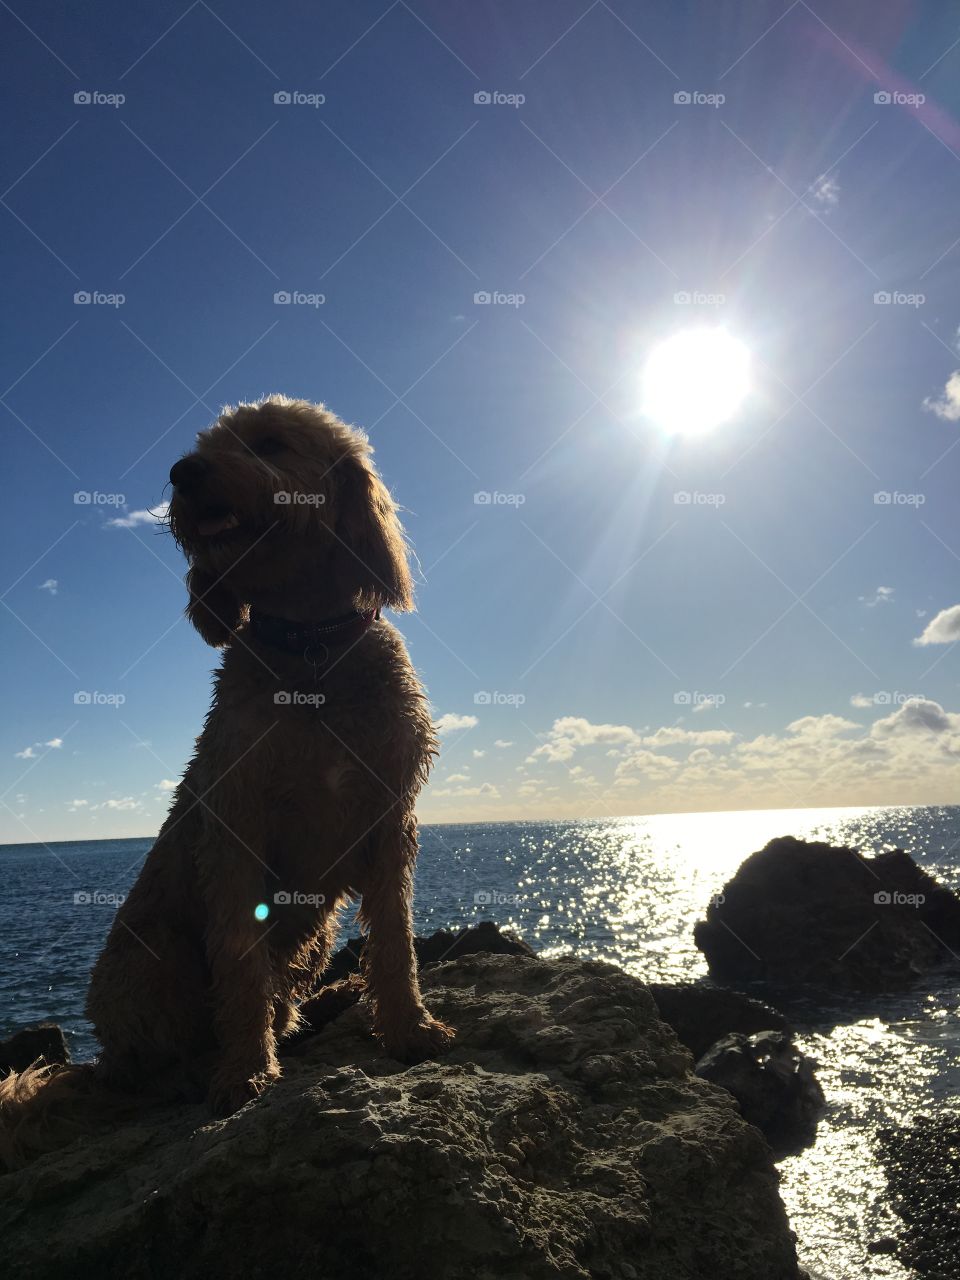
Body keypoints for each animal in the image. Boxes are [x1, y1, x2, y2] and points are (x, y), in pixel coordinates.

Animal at [1, 389, 453, 1152]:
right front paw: (244, 1074)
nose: (183, 473)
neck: (308, 652)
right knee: (159, 1059)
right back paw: (203, 1066)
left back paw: (329, 1003)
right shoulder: (236, 828)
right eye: (203, 444)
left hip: (312, 929)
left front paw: (407, 1027)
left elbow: (394, 937)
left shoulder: (389, 817)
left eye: (270, 442)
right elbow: (241, 969)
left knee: (285, 997)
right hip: (150, 960)